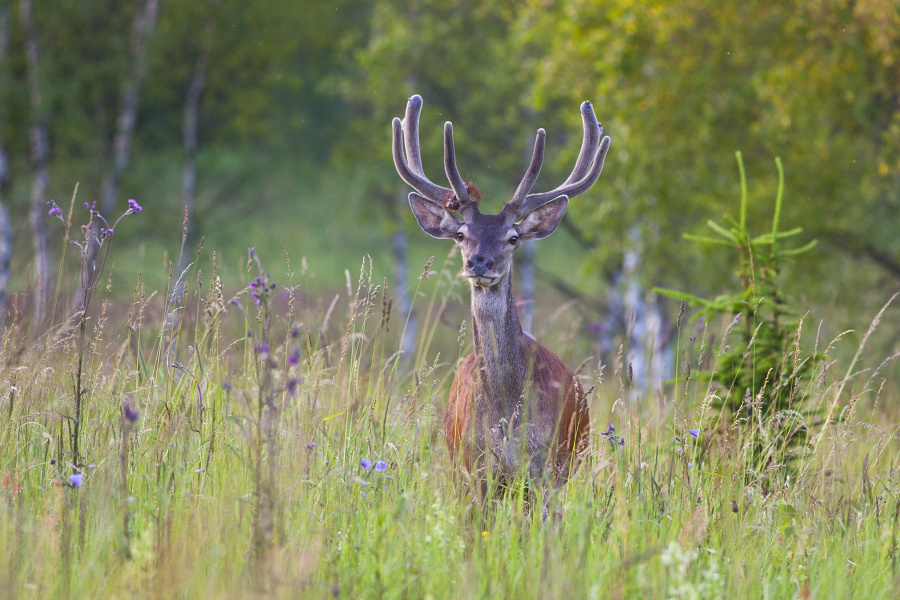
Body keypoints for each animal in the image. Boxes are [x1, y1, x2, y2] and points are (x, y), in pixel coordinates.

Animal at [394, 95, 612, 492]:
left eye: (512, 238)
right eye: (461, 234)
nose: (480, 261)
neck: (506, 419)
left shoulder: (546, 469)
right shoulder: (473, 469)